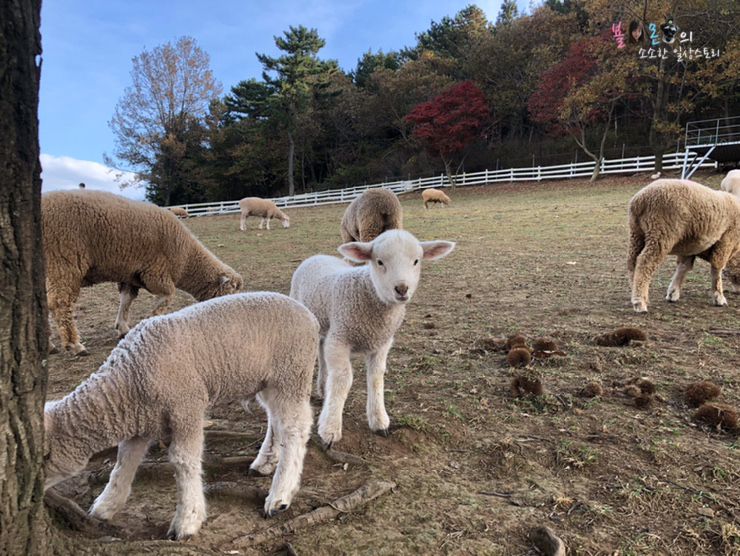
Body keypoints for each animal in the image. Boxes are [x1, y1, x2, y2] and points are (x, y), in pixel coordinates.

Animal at [42, 191, 243, 356]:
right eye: (227, 295)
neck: (187, 258)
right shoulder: (156, 272)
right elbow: (167, 297)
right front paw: (147, 322)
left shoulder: (131, 275)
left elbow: (126, 300)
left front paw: (123, 328)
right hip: (64, 260)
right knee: (60, 303)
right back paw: (74, 345)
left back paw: (50, 345)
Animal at [43, 292, 316, 540]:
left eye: (45, 457)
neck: (127, 382)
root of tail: (307, 314)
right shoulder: (143, 420)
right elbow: (124, 461)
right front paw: (106, 505)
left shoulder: (187, 406)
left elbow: (183, 460)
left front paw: (188, 520)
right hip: (268, 382)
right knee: (275, 420)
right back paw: (265, 462)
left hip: (291, 373)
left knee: (296, 429)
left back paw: (280, 495)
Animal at [290, 229, 454, 448]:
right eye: (379, 261)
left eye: (416, 261)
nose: (402, 289)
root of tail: (317, 256)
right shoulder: (340, 338)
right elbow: (343, 379)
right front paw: (330, 429)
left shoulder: (381, 343)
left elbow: (376, 378)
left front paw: (379, 420)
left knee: (323, 353)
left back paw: (324, 387)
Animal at [624, 178, 740, 310]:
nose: (738, 292)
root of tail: (639, 200)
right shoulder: (726, 241)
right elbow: (717, 269)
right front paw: (719, 297)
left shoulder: (691, 246)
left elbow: (683, 267)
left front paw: (673, 293)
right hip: (661, 233)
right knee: (644, 262)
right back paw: (639, 302)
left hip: (636, 234)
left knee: (632, 262)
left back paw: (636, 293)